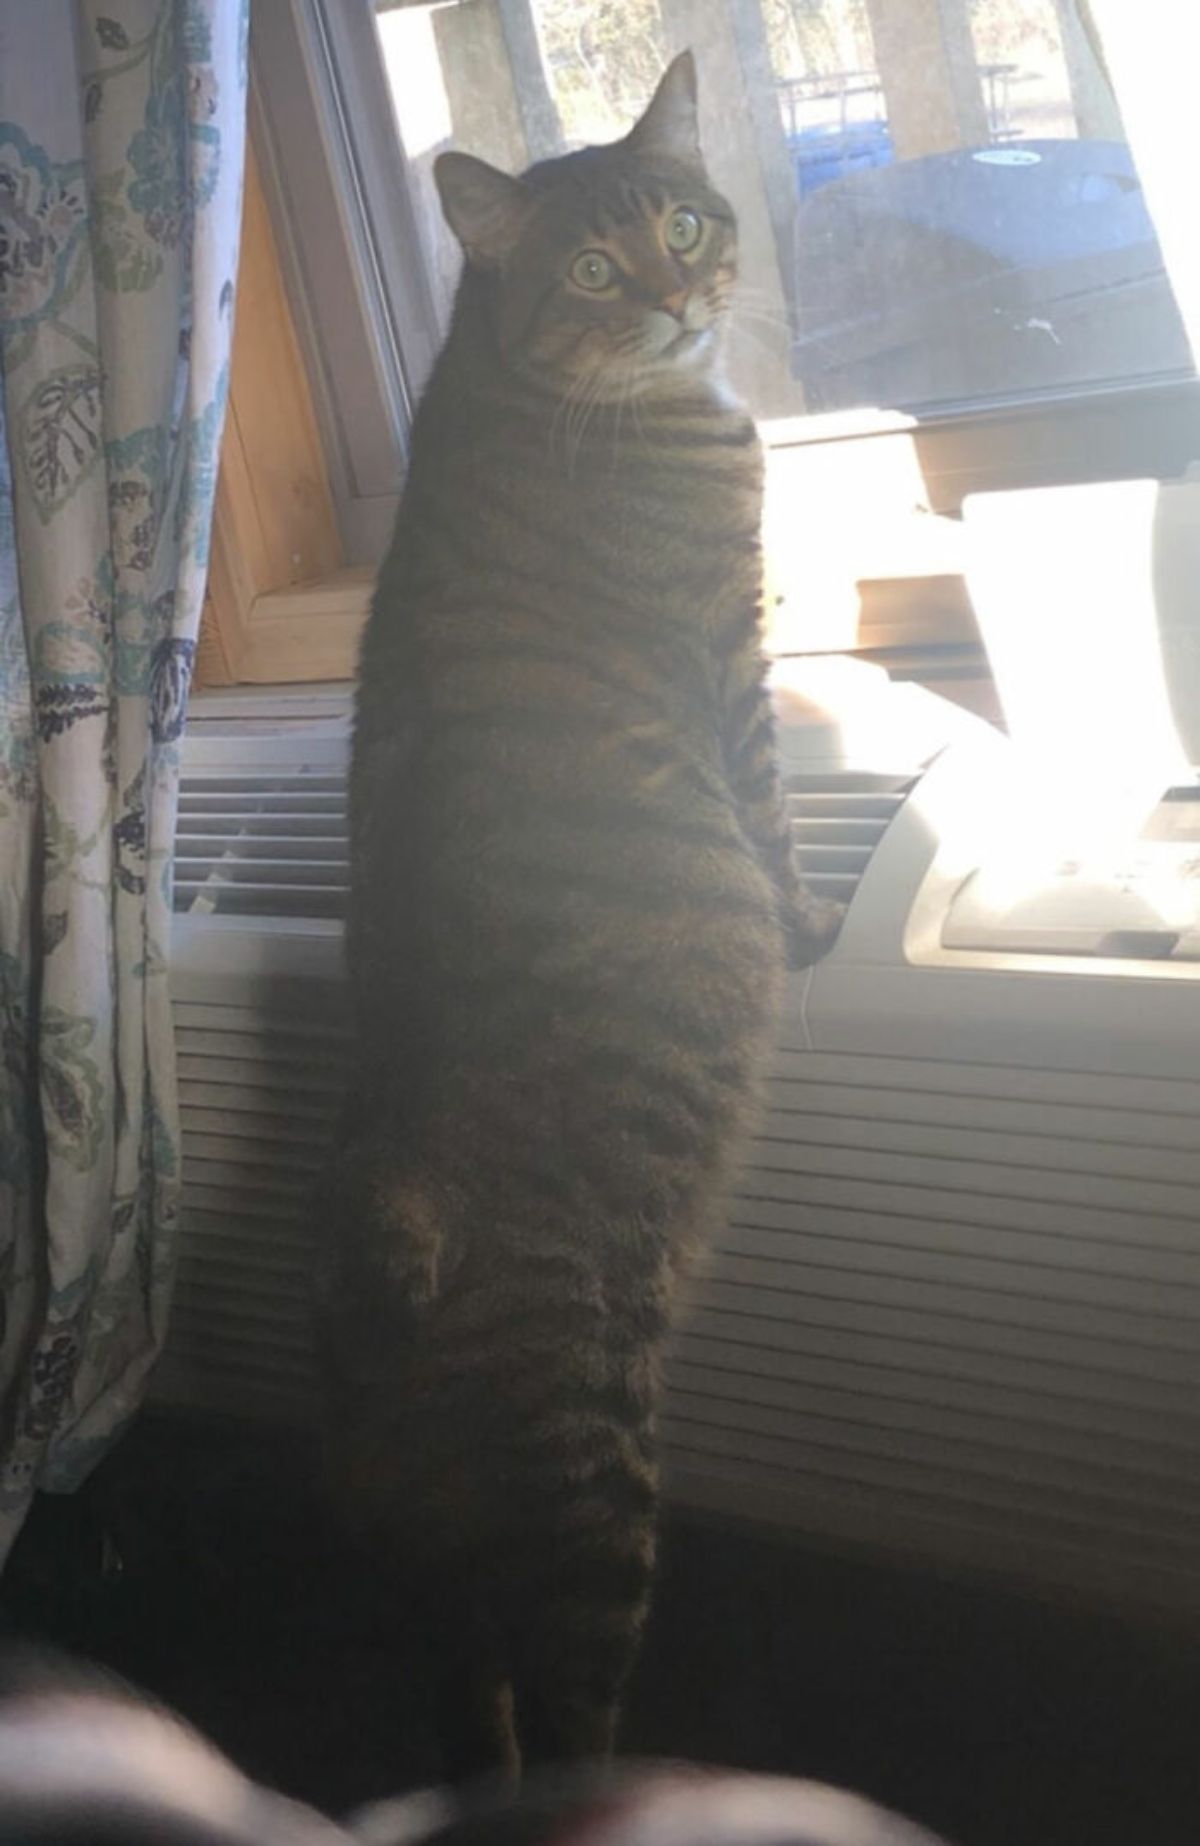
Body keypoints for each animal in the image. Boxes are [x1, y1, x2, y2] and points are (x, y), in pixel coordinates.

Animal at [323, 50, 838, 1786]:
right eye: (599, 269)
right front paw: (811, 920)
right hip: (592, 1489)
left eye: (678, 219)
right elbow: (768, 808)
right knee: (571, 1716)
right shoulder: (729, 646)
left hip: (456, 1567)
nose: (680, 294)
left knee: (481, 1705)